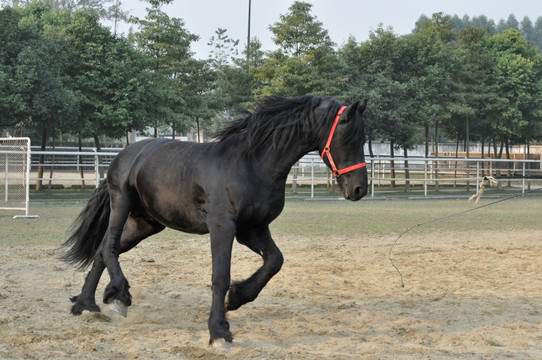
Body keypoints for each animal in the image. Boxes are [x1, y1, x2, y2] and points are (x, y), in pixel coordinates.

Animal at [62, 95, 370, 346]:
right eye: (349, 137)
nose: (359, 189)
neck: (251, 165)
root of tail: (125, 154)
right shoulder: (223, 227)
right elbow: (220, 276)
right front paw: (219, 331)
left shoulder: (253, 229)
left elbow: (274, 261)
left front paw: (237, 297)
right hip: (122, 203)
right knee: (110, 247)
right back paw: (119, 296)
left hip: (145, 223)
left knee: (102, 250)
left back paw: (86, 305)